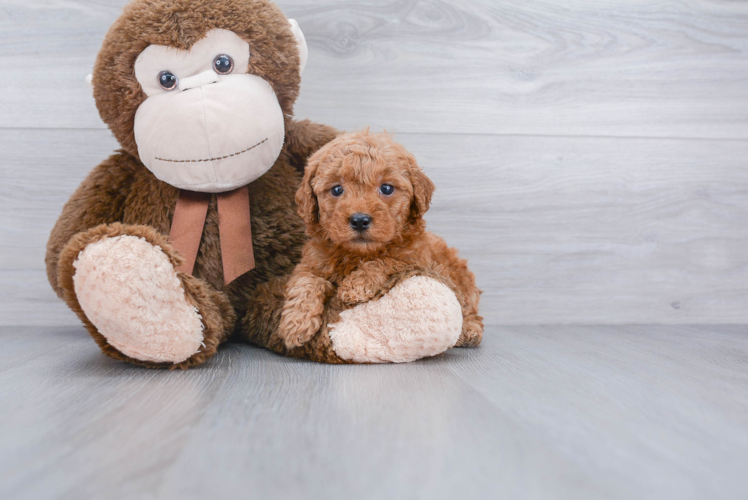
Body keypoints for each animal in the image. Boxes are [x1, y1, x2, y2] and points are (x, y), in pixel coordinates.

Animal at [278, 131, 482, 354]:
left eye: (386, 188)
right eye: (337, 189)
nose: (360, 220)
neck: (358, 253)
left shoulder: (415, 259)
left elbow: (387, 260)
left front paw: (356, 285)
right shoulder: (311, 263)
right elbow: (305, 282)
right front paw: (295, 324)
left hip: (462, 278)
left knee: (470, 308)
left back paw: (470, 331)